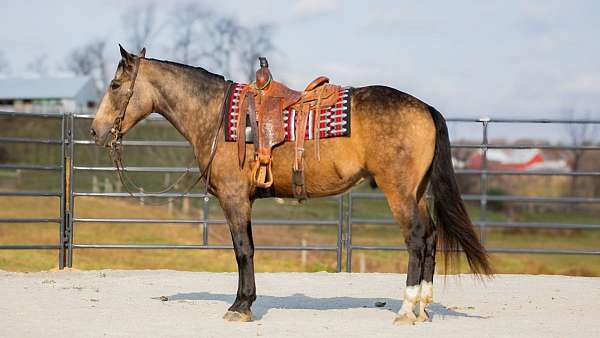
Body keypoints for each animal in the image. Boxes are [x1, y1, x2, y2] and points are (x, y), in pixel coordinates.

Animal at [90, 46, 492, 326]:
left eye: (115, 85)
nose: (96, 131)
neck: (216, 116)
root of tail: (425, 108)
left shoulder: (235, 199)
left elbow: (243, 251)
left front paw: (240, 306)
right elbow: (248, 250)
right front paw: (246, 302)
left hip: (400, 194)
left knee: (417, 239)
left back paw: (407, 309)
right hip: (417, 192)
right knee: (431, 237)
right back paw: (422, 308)